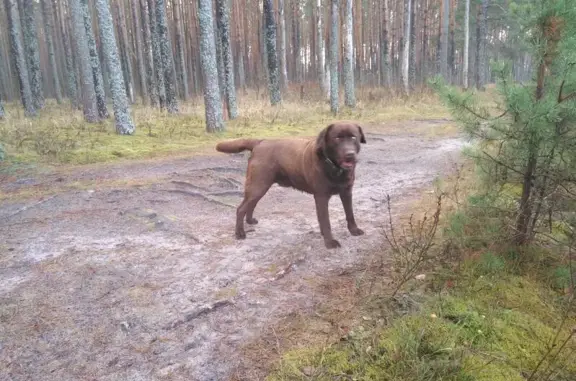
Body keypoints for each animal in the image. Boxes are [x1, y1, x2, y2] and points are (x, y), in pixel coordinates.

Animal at [214, 120, 366, 248]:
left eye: (353, 137)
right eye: (337, 138)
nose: (350, 154)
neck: (333, 166)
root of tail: (260, 142)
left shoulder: (347, 192)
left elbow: (350, 213)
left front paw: (354, 230)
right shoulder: (321, 196)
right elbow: (325, 221)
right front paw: (329, 242)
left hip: (260, 185)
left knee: (251, 204)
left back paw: (250, 220)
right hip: (258, 184)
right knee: (241, 208)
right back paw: (239, 233)